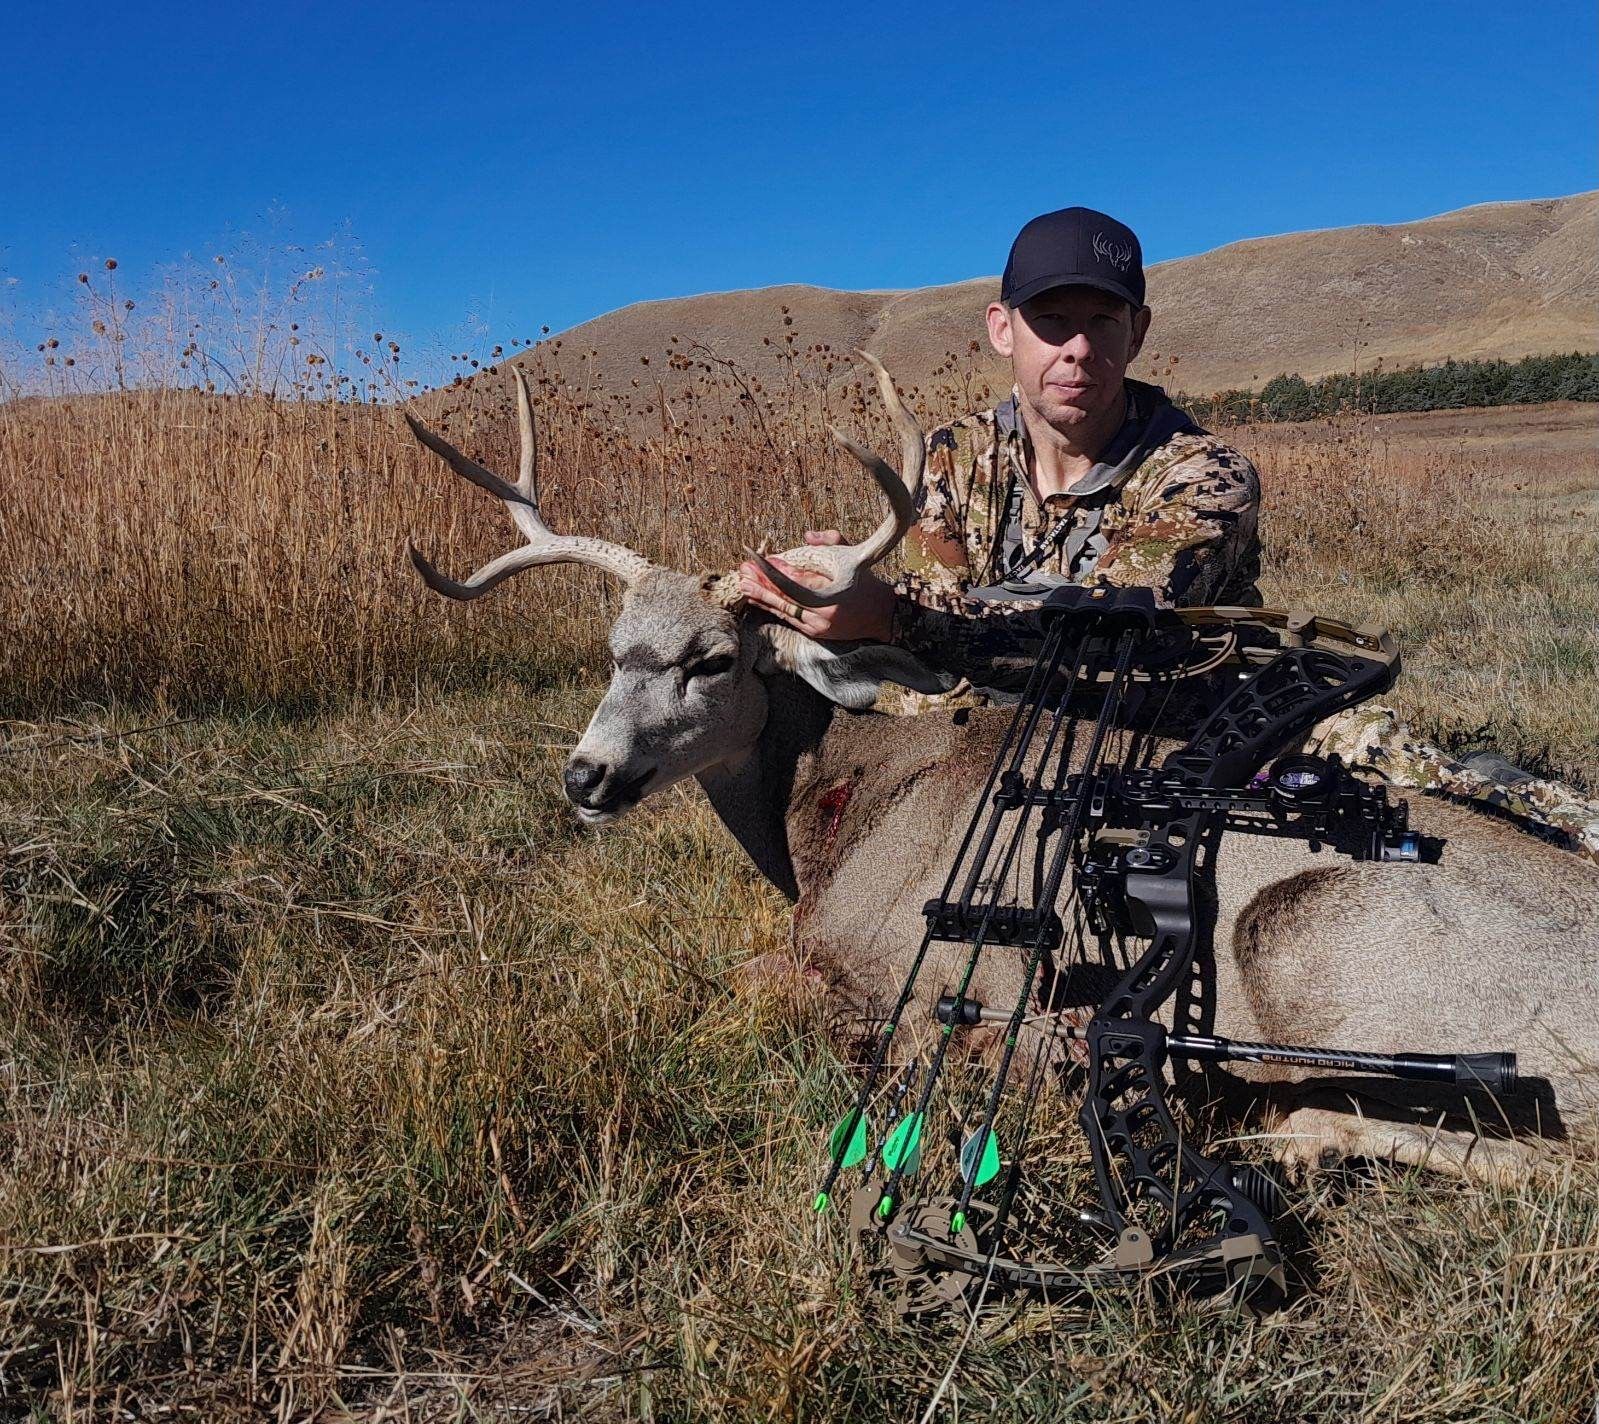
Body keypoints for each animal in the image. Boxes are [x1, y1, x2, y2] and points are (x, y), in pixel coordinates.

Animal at [403, 357, 1599, 1182]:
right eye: (614, 650)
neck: (833, 804)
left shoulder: (892, 957)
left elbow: (758, 987)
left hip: (1313, 933)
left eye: (713, 659)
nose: (588, 777)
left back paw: (1269, 1128)